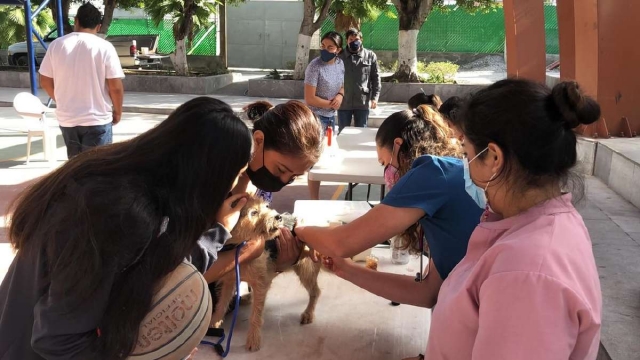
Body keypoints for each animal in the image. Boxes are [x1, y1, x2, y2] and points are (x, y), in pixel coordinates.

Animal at [210, 197, 322, 352]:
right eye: (254, 212)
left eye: (267, 206)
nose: (278, 217)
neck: (240, 245)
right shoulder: (229, 280)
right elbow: (221, 304)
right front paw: (214, 324)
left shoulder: (261, 284)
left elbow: (255, 315)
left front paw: (253, 339)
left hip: (306, 269)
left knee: (315, 292)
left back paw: (308, 314)